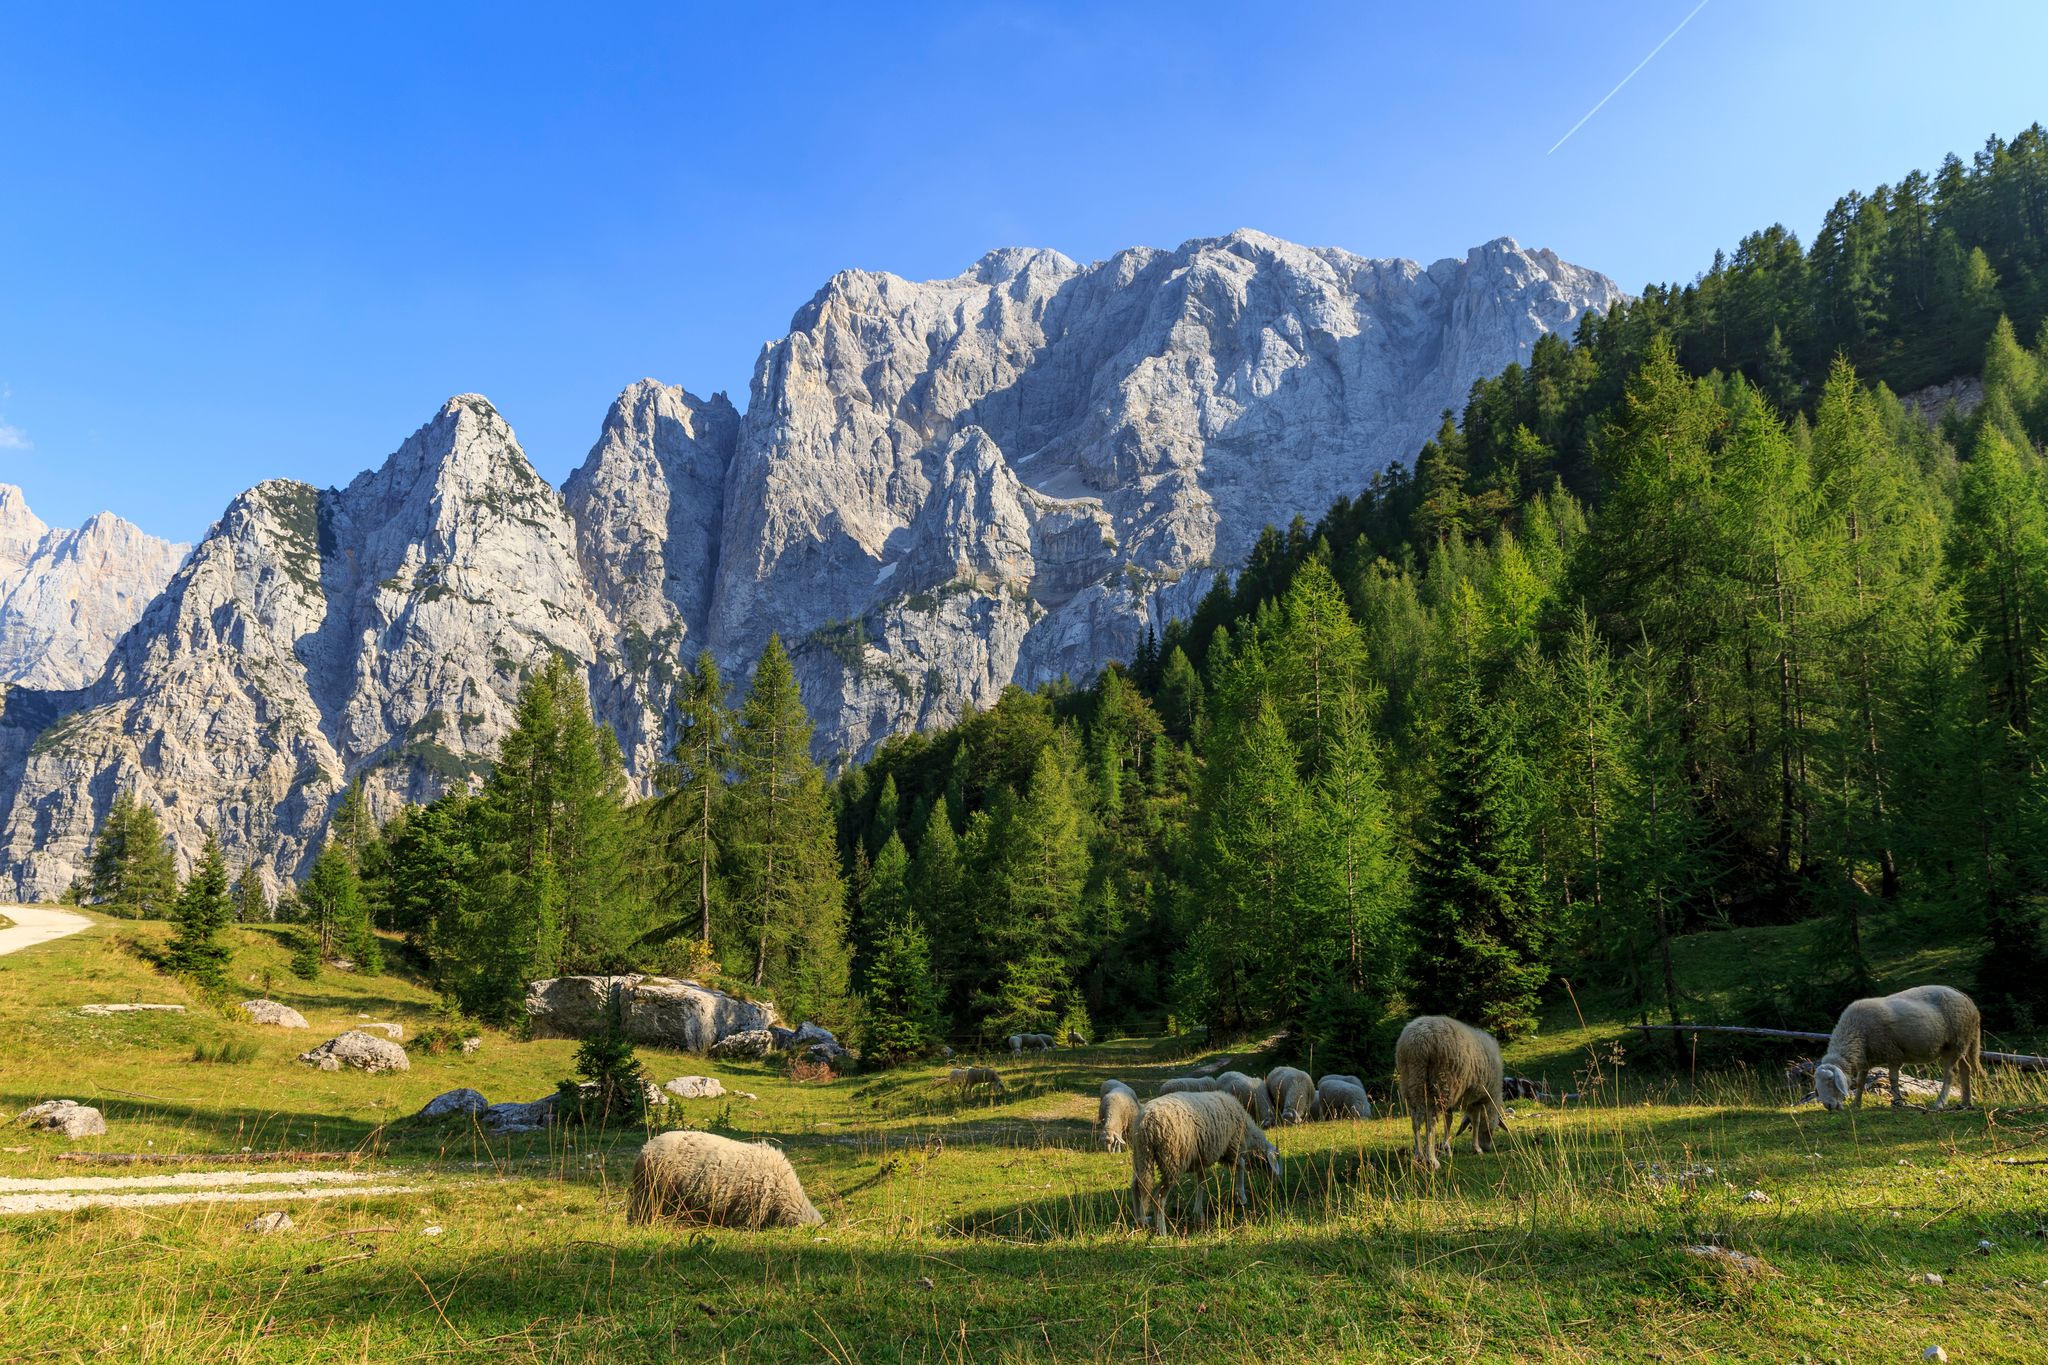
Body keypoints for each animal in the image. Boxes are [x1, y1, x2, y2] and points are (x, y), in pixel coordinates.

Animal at [1129, 1091, 1282, 1234]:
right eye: (1277, 1158)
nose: (1278, 1184)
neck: (1248, 1136)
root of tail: (1146, 1122)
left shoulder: (1202, 1159)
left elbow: (1201, 1182)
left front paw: (1198, 1212)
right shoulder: (1232, 1147)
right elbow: (1241, 1166)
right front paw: (1241, 1197)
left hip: (1141, 1156)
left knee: (1137, 1186)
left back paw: (1141, 1221)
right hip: (1172, 1160)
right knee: (1158, 1197)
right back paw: (1162, 1231)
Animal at [1396, 1015, 1506, 1171]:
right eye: (1494, 1129)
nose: (1488, 1148)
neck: (1491, 1099)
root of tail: (1416, 1042)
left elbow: (1449, 1120)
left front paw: (1446, 1148)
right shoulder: (1477, 1097)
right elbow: (1476, 1122)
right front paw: (1476, 1148)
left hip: (1412, 1081)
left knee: (1415, 1120)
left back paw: (1419, 1157)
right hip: (1441, 1083)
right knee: (1430, 1122)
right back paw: (1432, 1160)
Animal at [1813, 984, 1982, 1112]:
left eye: (1830, 1080)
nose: (1828, 1106)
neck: (1855, 1032)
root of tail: (1966, 998)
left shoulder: (1893, 1054)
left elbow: (1892, 1078)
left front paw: (1898, 1101)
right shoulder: (1865, 1060)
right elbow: (1860, 1082)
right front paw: (1856, 1104)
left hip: (1954, 1043)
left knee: (1950, 1073)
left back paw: (1939, 1103)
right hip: (1962, 1044)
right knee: (1965, 1069)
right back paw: (1965, 1102)